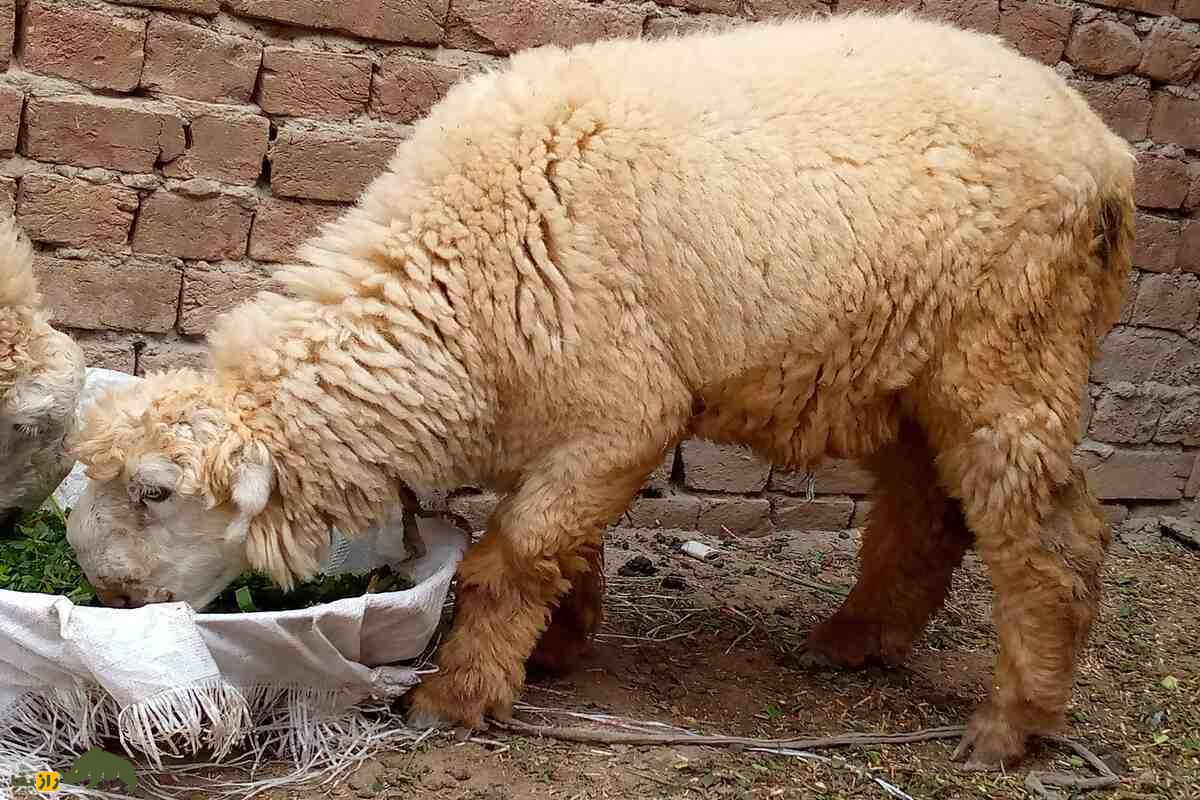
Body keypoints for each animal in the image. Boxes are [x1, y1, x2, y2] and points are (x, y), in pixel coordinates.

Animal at [65, 12, 1132, 772]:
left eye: (157, 492)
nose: (109, 596)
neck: (455, 275)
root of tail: (1106, 150)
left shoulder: (622, 412)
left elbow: (514, 555)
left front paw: (462, 694)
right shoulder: (555, 419)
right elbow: (558, 548)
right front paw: (557, 645)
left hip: (1011, 348)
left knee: (1051, 538)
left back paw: (1012, 725)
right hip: (902, 364)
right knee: (925, 511)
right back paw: (858, 639)